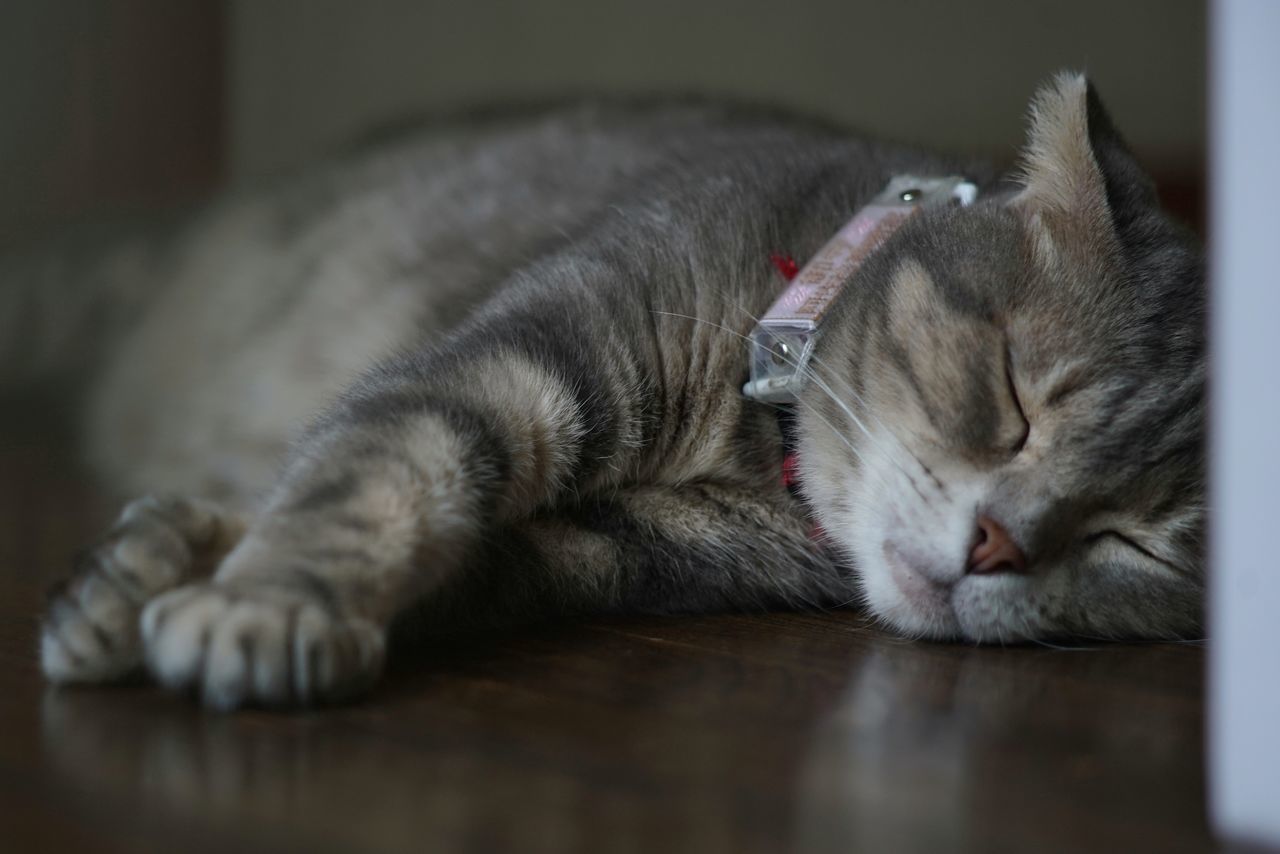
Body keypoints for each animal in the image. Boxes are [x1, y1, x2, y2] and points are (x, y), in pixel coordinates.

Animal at [15, 71, 1203, 706]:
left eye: (1129, 543)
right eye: (1014, 401)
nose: (999, 543)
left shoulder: (654, 544)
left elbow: (478, 547)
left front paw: (182, 576)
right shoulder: (532, 352)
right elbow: (382, 465)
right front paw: (255, 600)